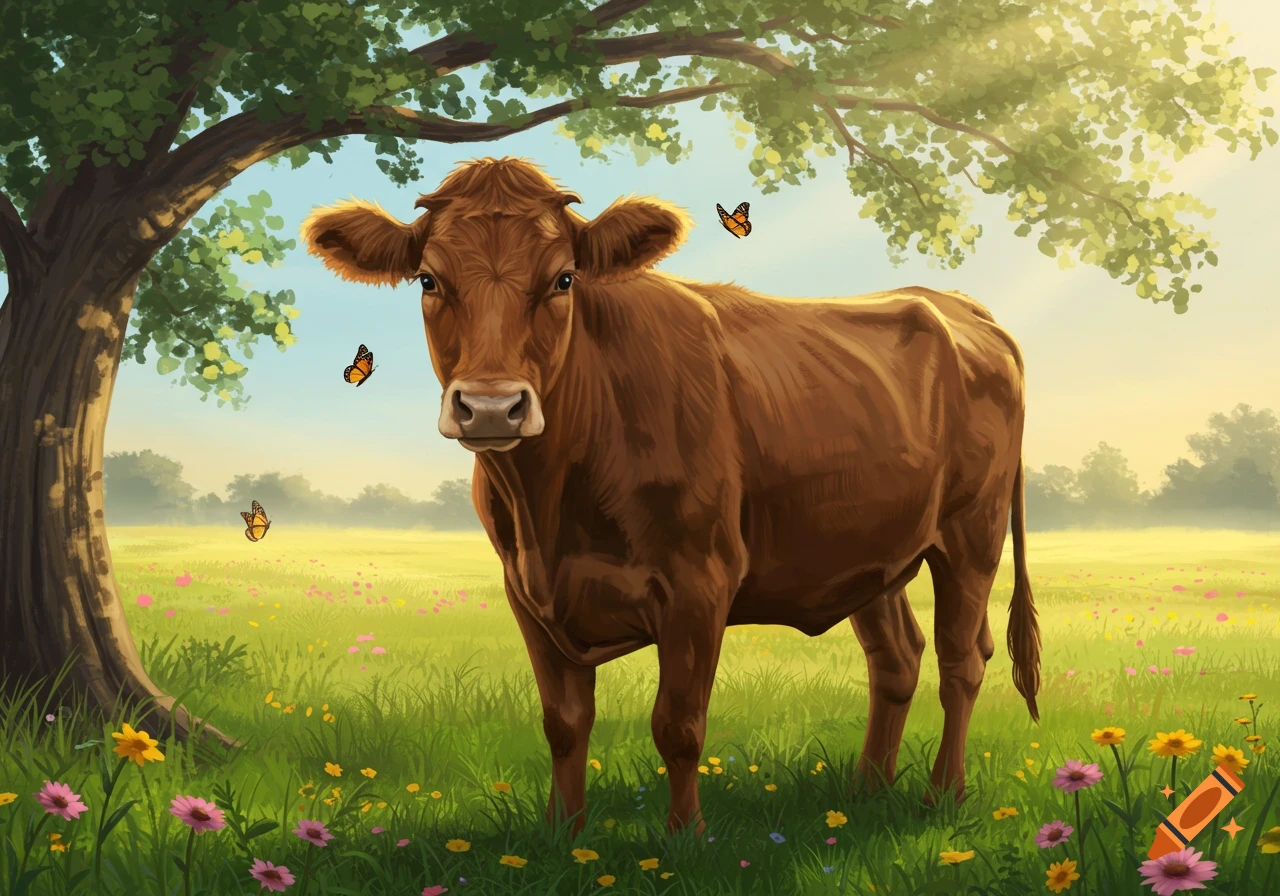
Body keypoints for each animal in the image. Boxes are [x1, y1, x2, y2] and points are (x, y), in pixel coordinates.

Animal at [301, 156, 1041, 836]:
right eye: (429, 280)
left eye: (563, 278)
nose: (489, 407)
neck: (552, 504)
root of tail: (957, 304)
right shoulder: (526, 592)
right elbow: (565, 723)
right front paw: (563, 835)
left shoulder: (698, 582)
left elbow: (678, 725)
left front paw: (686, 840)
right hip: (869, 549)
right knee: (897, 659)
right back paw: (865, 793)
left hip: (971, 534)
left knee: (961, 659)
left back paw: (941, 798)